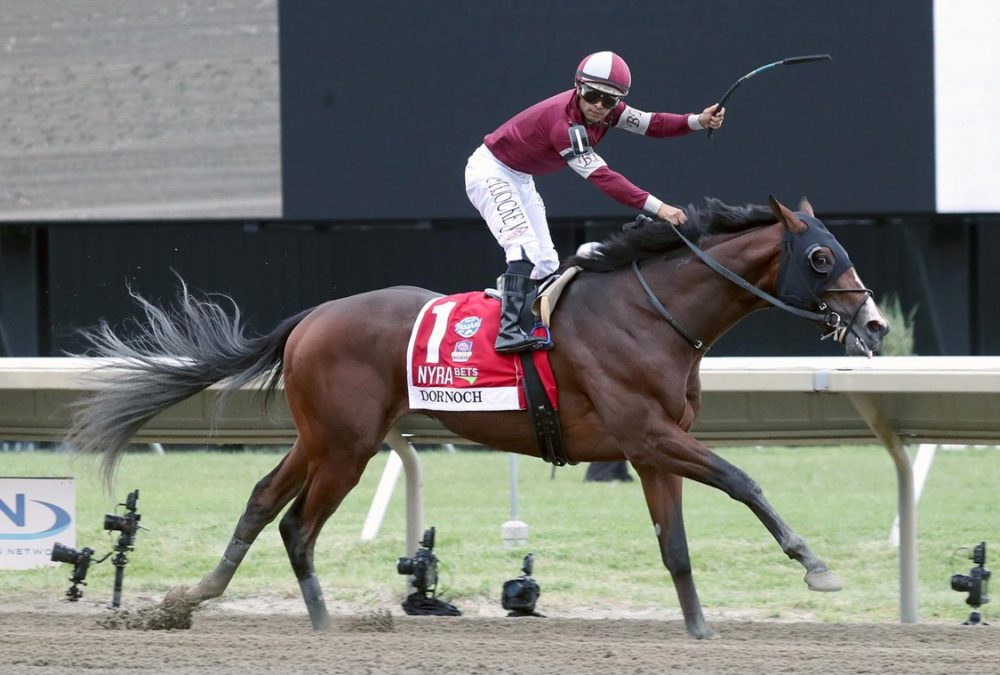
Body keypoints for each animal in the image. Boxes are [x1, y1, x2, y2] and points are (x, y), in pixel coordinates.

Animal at [68, 195, 884, 640]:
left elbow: (676, 546)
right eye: (820, 256)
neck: (652, 313)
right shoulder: (649, 434)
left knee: (266, 499)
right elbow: (744, 479)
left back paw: (204, 596)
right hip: (346, 444)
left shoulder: (653, 448)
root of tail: (309, 319)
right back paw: (314, 621)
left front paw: (698, 626)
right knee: (297, 520)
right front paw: (815, 566)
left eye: (841, 249)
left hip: (326, 436)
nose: (874, 324)